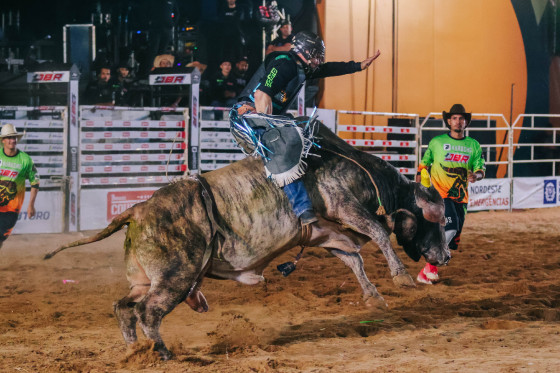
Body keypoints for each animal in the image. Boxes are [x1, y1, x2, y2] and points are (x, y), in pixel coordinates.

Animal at [43, 123, 450, 358]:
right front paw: (400, 277)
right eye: (439, 221)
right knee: (148, 311)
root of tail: (138, 210)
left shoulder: (327, 232)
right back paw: (161, 353)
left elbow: (354, 259)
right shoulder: (343, 204)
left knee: (124, 307)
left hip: (145, 279)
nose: (445, 256)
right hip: (176, 277)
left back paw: (134, 352)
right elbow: (379, 233)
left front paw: (373, 297)